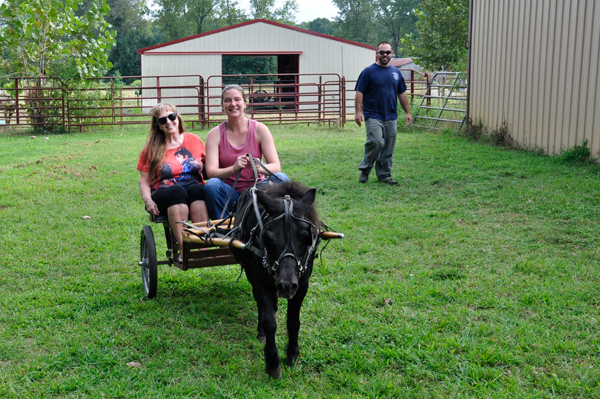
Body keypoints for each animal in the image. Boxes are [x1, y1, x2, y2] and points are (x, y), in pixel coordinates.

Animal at [231, 181, 324, 378]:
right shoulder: (261, 282)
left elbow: (293, 322)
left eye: (306, 236)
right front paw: (273, 362)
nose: (286, 285)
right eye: (268, 237)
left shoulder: (302, 285)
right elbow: (269, 323)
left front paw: (293, 355)